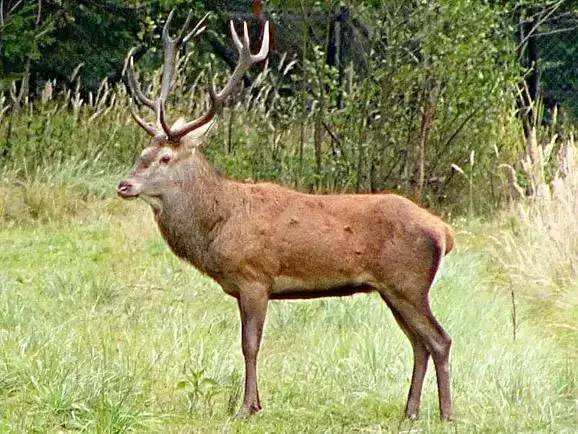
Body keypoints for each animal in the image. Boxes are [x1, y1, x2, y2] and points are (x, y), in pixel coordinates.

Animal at [117, 10, 454, 422]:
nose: (124, 185)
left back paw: (447, 414)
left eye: (165, 158)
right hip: (393, 288)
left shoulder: (254, 277)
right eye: (143, 153)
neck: (218, 226)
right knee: (419, 343)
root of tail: (444, 232)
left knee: (439, 340)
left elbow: (250, 344)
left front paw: (247, 407)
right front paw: (256, 403)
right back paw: (410, 412)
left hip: (409, 282)